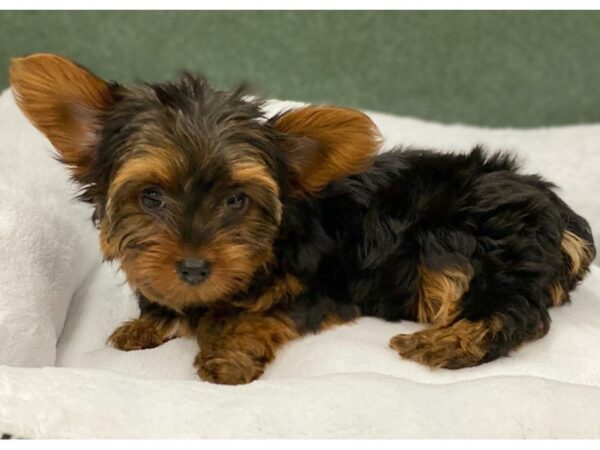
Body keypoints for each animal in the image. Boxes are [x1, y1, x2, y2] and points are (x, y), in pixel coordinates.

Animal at [9, 51, 596, 384]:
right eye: (151, 197)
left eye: (237, 200)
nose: (194, 268)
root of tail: (560, 215)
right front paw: (147, 322)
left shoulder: (318, 289)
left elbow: (250, 316)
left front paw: (226, 354)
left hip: (464, 246)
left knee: (517, 312)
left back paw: (445, 343)